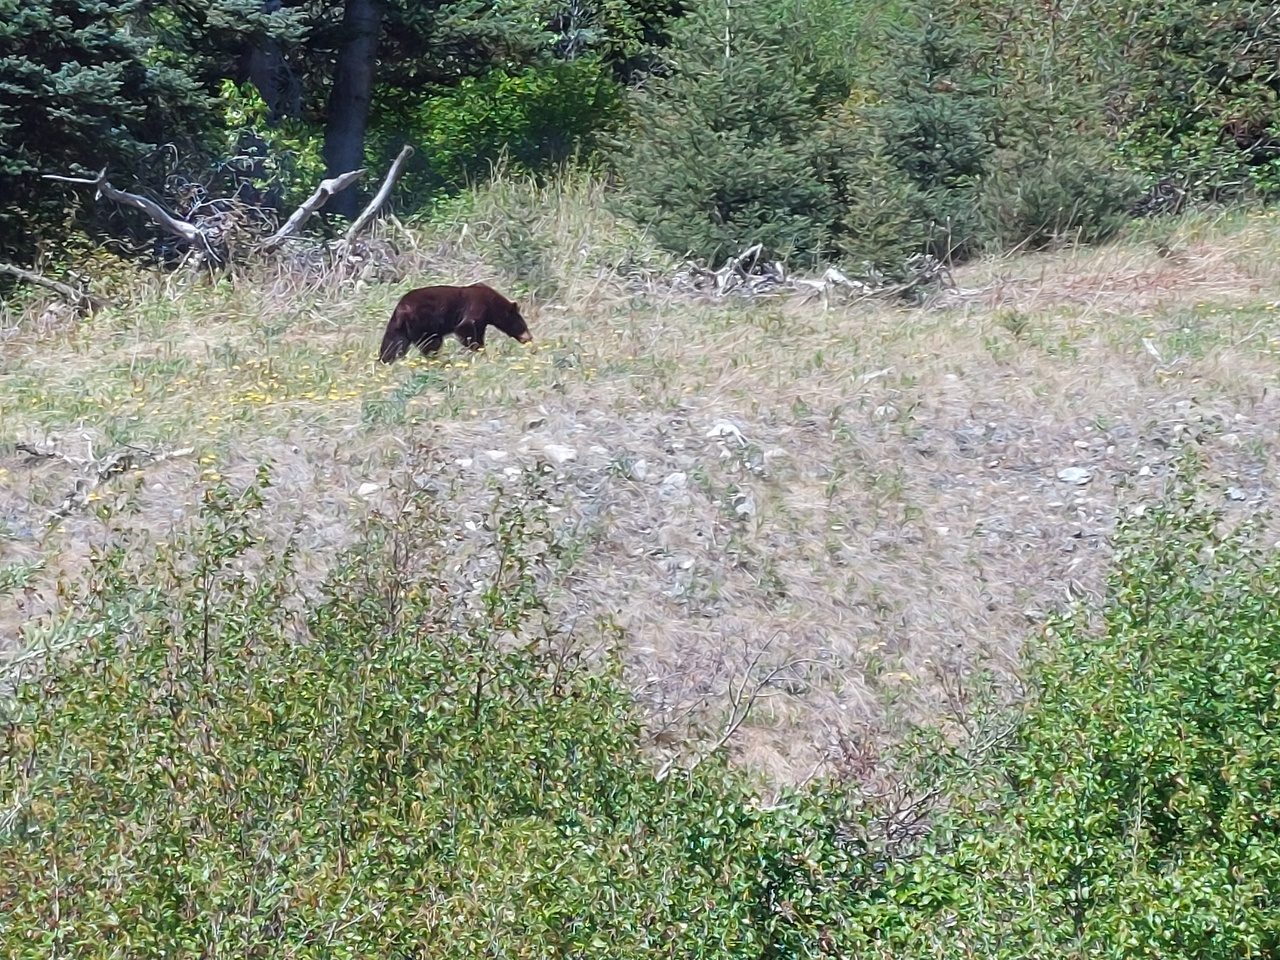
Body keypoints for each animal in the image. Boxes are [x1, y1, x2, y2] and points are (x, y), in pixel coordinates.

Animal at [373, 285, 529, 363]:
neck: (492, 305)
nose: (529, 338)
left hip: (398, 327)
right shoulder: (477, 306)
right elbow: (465, 328)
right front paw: (479, 351)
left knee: (393, 343)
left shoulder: (482, 322)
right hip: (424, 323)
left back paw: (385, 360)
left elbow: (478, 332)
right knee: (431, 343)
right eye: (523, 326)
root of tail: (402, 310)